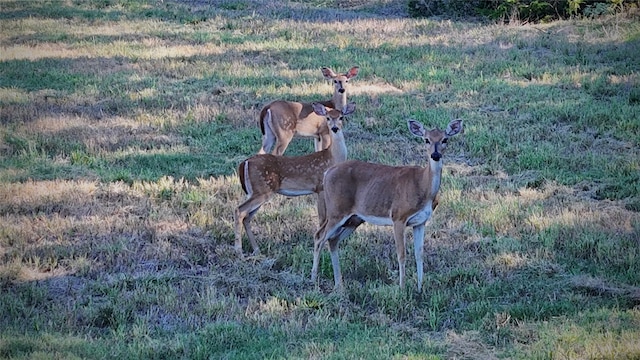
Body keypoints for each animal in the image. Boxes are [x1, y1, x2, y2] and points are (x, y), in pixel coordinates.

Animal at [235, 102, 358, 258]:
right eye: (328, 118)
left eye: (341, 117)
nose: (335, 128)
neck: (332, 157)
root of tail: (245, 163)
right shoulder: (320, 187)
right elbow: (322, 219)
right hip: (262, 190)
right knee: (239, 211)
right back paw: (239, 251)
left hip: (257, 192)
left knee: (247, 217)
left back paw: (256, 250)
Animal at [312, 119, 462, 292]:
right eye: (426, 140)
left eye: (445, 139)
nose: (435, 155)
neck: (423, 186)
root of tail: (327, 173)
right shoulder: (398, 216)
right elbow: (402, 254)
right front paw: (402, 288)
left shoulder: (420, 222)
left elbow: (419, 254)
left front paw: (420, 288)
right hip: (336, 210)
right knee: (319, 236)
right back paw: (313, 279)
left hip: (354, 218)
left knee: (333, 240)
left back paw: (339, 284)